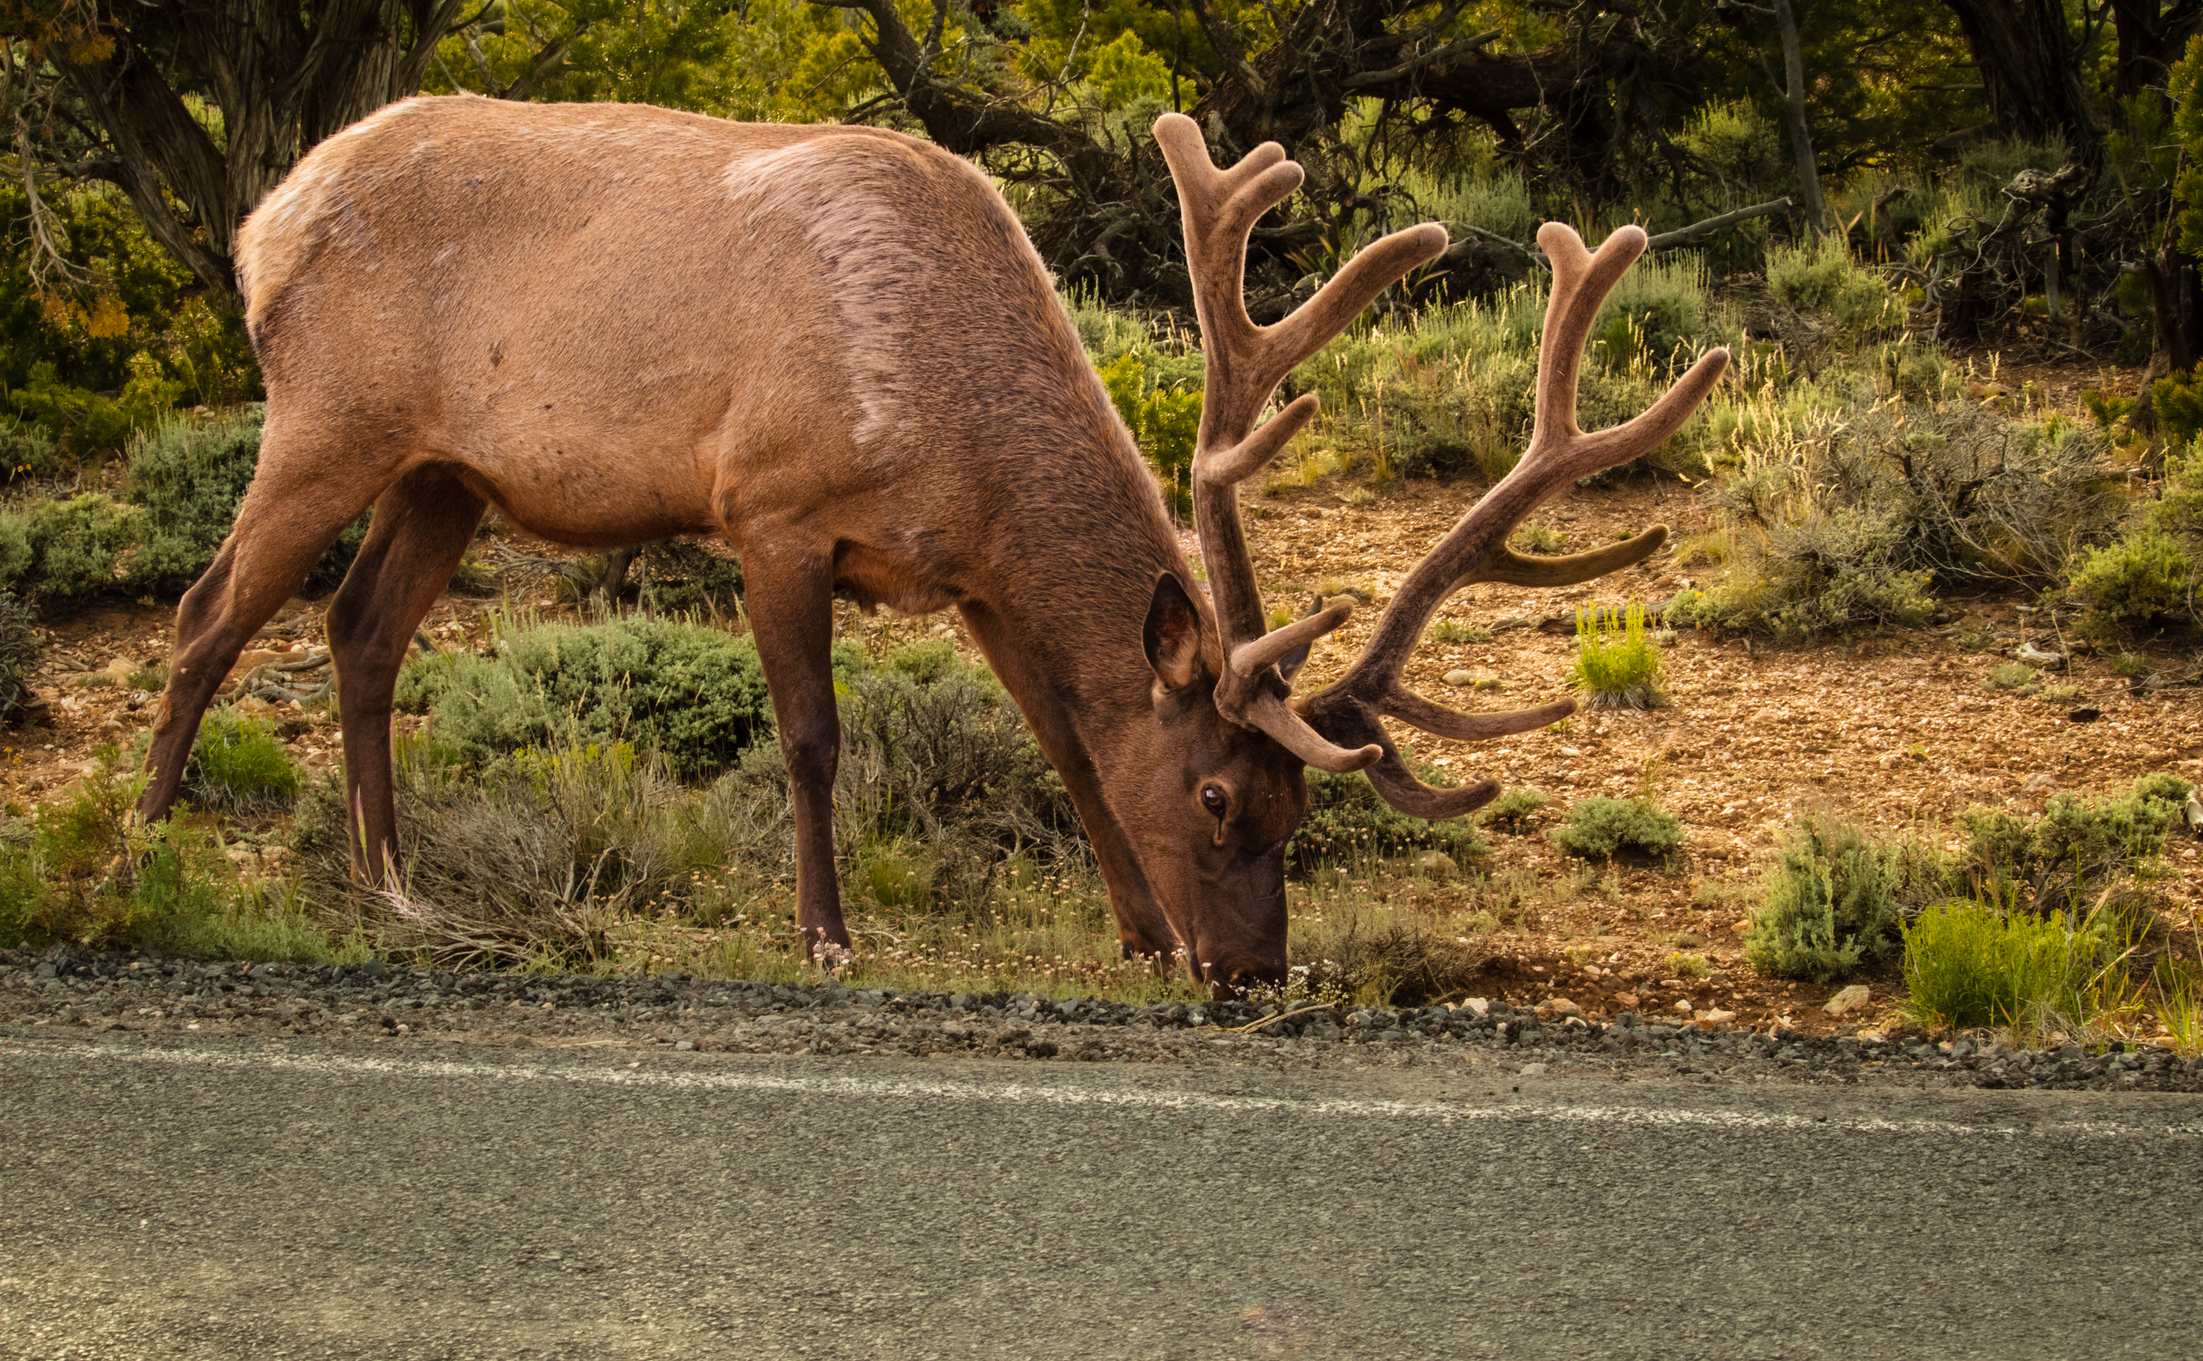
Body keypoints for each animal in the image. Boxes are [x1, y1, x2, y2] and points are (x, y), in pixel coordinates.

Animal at [135, 96, 1725, 997]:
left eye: (1296, 811)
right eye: (1219, 795)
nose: (1253, 975)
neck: (953, 426)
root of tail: (262, 220)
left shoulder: (973, 577)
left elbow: (1070, 743)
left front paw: (1136, 934)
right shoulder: (772, 508)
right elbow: (811, 737)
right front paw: (826, 933)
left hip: (446, 467)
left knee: (358, 629)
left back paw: (389, 880)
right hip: (327, 412)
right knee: (208, 612)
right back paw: (142, 850)